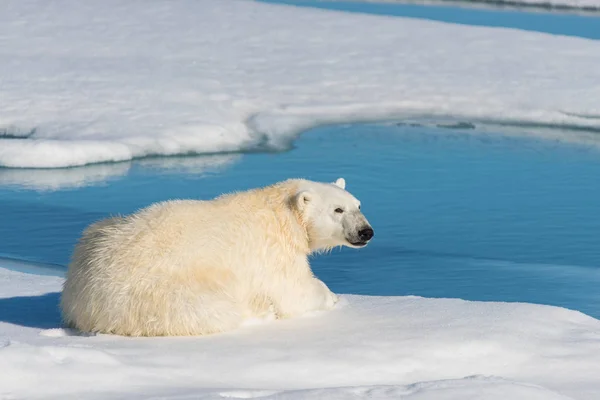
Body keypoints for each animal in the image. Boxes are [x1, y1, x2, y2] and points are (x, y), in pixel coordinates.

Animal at [59, 177, 370, 336]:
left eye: (358, 205)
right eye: (338, 210)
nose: (366, 231)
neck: (282, 214)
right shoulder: (272, 253)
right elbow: (293, 291)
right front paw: (331, 297)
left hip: (97, 232)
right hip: (160, 291)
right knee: (209, 309)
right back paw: (259, 312)